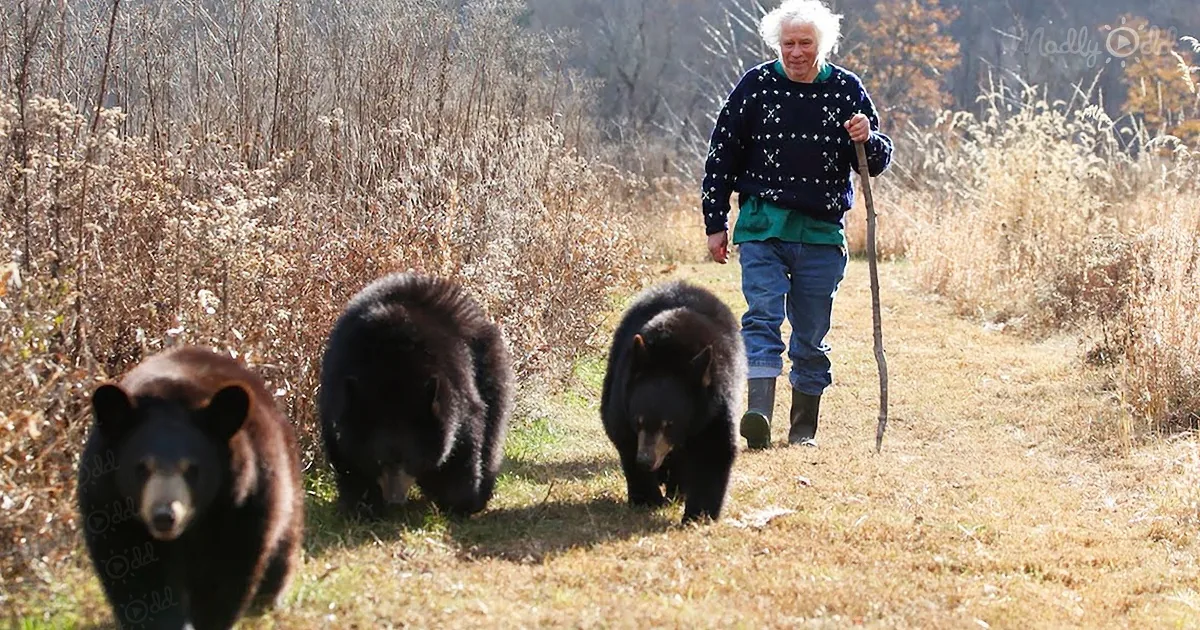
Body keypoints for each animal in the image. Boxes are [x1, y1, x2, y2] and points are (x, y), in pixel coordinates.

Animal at [76, 345, 305, 630]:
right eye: (142, 467)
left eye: (192, 469)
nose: (164, 516)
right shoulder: (108, 503)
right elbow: (135, 572)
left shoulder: (242, 499)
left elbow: (227, 566)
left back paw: (269, 596)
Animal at [318, 271, 514, 519]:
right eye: (378, 460)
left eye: (409, 459)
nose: (395, 500)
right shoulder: (338, 398)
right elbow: (347, 457)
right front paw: (363, 505)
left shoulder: (456, 394)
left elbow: (464, 446)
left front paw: (462, 501)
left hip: (489, 365)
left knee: (493, 428)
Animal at [600, 280, 745, 524]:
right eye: (638, 420)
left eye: (670, 424)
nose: (646, 460)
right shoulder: (622, 398)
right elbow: (625, 439)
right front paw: (646, 498)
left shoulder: (715, 405)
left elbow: (715, 450)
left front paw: (699, 514)